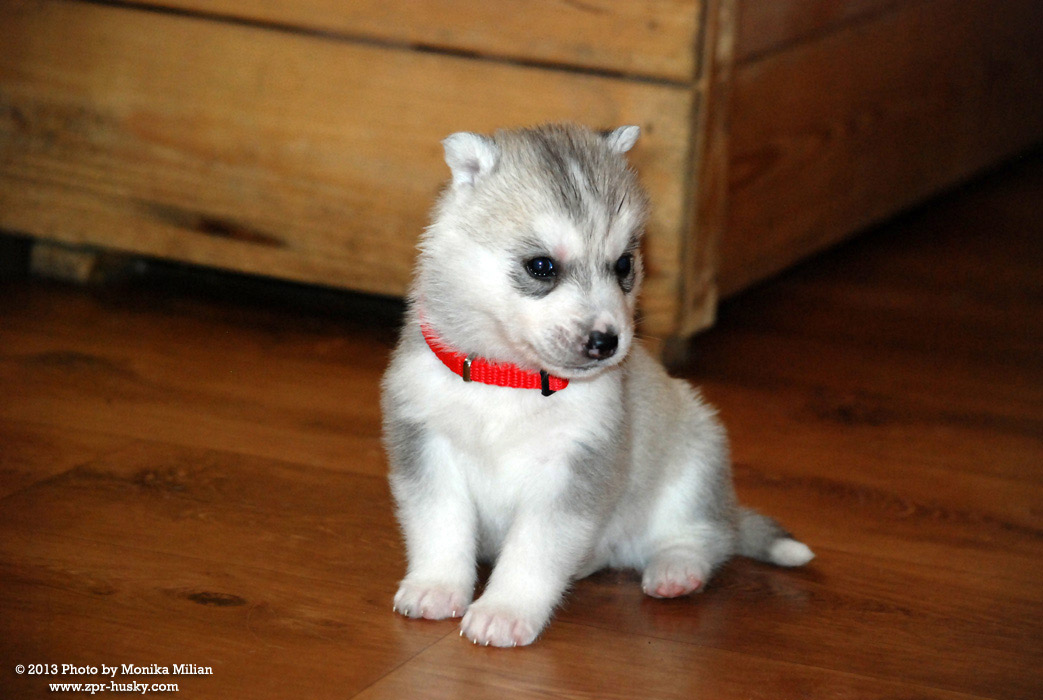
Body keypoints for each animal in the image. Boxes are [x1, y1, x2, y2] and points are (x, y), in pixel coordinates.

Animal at [381, 123, 813, 647]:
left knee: (704, 536)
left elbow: (534, 550)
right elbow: (440, 526)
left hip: (694, 463)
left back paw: (676, 570)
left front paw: (505, 610)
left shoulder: (575, 468)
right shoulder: (426, 444)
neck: (511, 380)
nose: (607, 342)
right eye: (542, 266)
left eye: (623, 264)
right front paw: (436, 588)